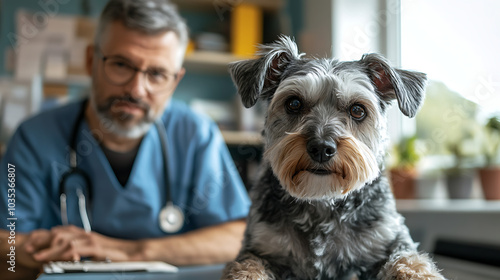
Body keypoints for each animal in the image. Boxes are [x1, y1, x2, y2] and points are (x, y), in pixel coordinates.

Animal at [223, 35, 446, 280]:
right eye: (293, 103)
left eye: (357, 110)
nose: (321, 148)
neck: (322, 201)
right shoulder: (258, 248)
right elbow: (247, 268)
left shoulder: (391, 239)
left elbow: (411, 262)